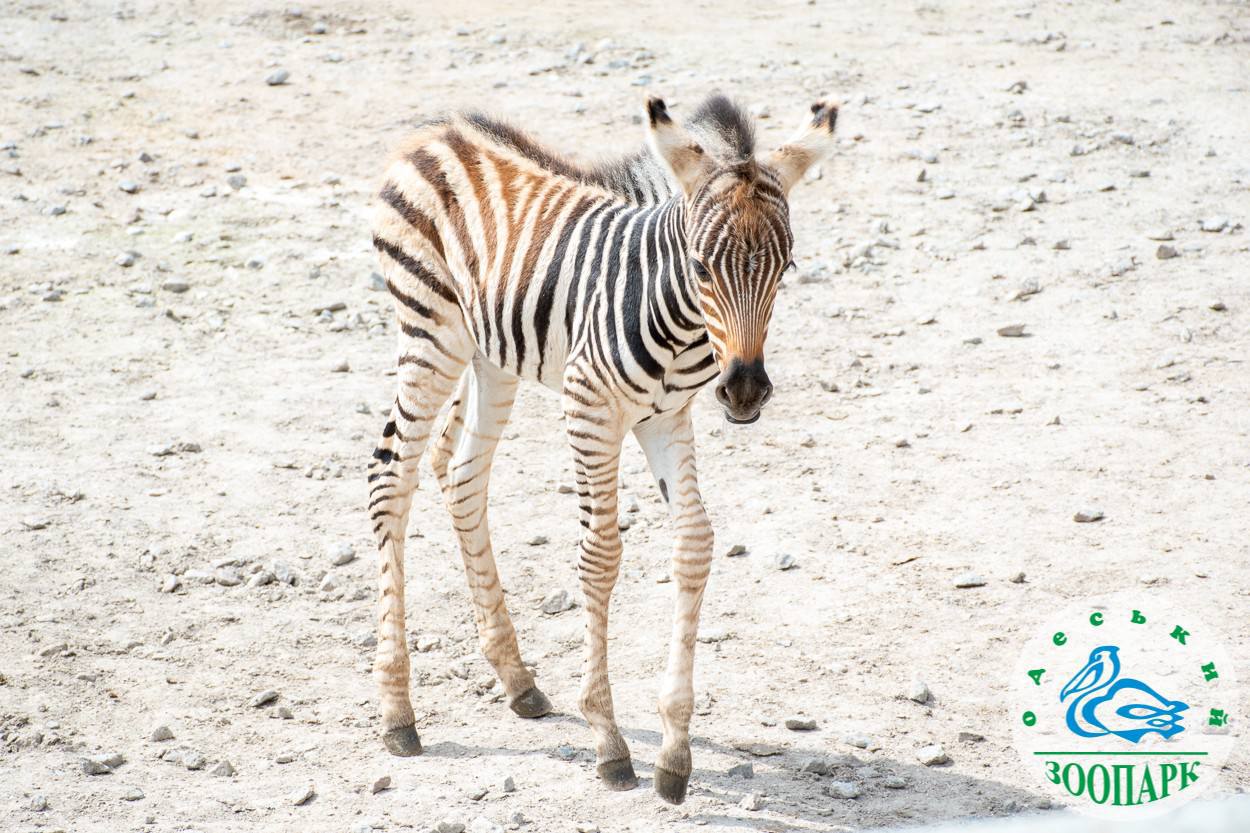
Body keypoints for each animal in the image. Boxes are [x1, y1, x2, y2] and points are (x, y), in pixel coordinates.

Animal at [367, 90, 840, 800]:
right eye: (701, 266)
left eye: (785, 269)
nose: (745, 392)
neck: (678, 319)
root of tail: (438, 133)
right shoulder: (588, 405)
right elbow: (600, 555)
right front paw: (609, 741)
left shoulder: (667, 416)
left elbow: (694, 544)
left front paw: (674, 753)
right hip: (431, 331)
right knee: (391, 479)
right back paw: (399, 712)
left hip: (491, 353)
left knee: (463, 472)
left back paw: (518, 680)